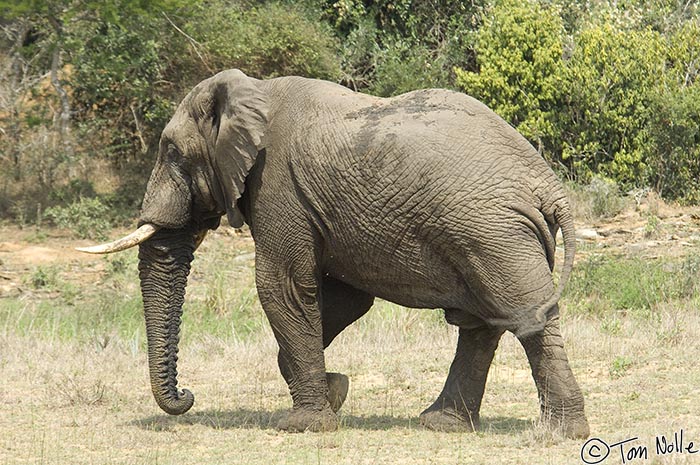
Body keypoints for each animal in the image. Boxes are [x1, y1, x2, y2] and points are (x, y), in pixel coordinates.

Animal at [78, 69, 592, 438]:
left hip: (493, 232)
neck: (252, 91)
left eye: (171, 152)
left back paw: (558, 434)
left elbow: (282, 286)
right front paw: (335, 391)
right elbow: (344, 299)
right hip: (493, 235)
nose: (186, 394)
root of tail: (550, 189)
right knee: (483, 321)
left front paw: (303, 424)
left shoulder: (277, 185)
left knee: (525, 317)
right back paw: (442, 424)